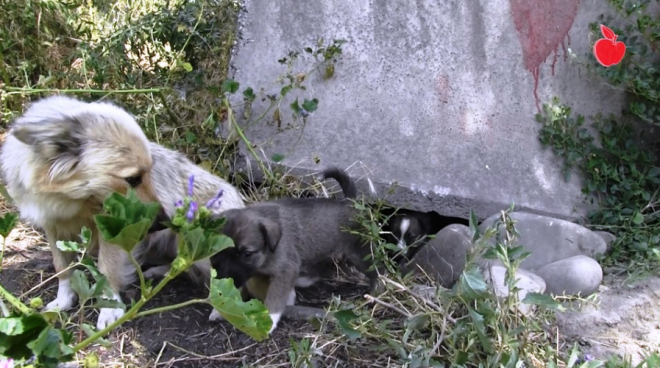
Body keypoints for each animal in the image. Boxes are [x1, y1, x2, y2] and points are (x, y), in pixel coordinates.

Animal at [0, 95, 245, 328]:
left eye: (149, 173)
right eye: (133, 178)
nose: (163, 221)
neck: (72, 203)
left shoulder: (113, 234)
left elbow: (107, 270)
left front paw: (110, 307)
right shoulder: (53, 228)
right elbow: (62, 268)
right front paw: (64, 299)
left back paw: (222, 307)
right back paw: (160, 271)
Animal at [209, 167, 374, 334]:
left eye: (247, 254)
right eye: (216, 252)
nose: (222, 279)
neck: (268, 251)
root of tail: (350, 202)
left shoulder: (284, 271)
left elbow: (274, 298)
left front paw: (269, 320)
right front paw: (220, 308)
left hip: (360, 254)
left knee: (375, 272)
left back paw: (375, 295)